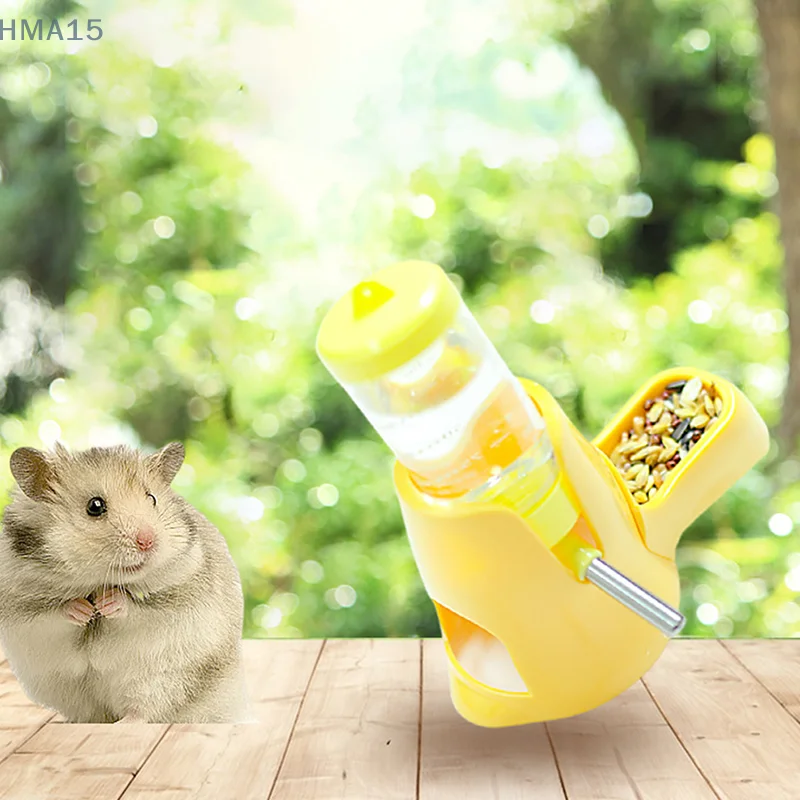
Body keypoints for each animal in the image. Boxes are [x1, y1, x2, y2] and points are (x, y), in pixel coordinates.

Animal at [0, 441, 251, 723]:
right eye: (95, 506)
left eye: (152, 498)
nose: (148, 541)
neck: (97, 581)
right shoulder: (20, 610)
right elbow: (53, 613)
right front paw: (84, 609)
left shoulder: (179, 597)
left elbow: (137, 608)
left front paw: (107, 603)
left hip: (162, 680)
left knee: (144, 710)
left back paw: (125, 721)